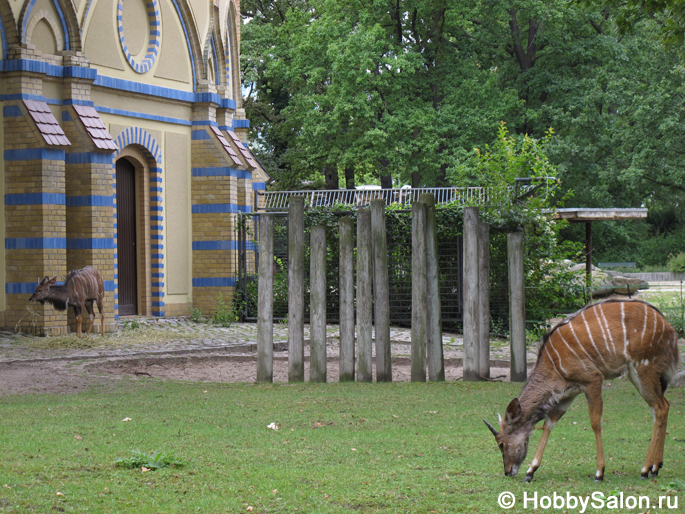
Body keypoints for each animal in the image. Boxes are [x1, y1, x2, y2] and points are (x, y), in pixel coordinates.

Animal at [480, 296, 680, 480]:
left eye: (501, 444)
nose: (508, 471)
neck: (553, 365)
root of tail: (670, 329)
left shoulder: (593, 379)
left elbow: (595, 421)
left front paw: (599, 472)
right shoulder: (569, 392)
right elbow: (549, 423)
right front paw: (531, 471)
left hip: (643, 368)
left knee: (660, 407)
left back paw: (645, 470)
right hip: (637, 374)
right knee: (662, 406)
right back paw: (656, 467)